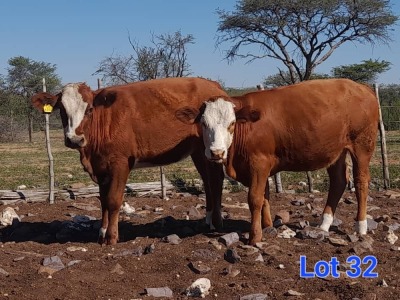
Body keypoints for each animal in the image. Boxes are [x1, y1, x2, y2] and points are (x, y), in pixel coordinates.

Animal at [31, 76, 228, 245]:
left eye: (89, 109)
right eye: (62, 110)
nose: (74, 139)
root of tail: (213, 85)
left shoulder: (120, 163)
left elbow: (113, 200)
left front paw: (111, 237)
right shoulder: (101, 168)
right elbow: (103, 201)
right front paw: (101, 233)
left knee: (216, 181)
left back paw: (216, 223)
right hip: (199, 152)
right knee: (207, 182)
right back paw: (207, 220)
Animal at [177, 78, 378, 245]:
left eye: (231, 124)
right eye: (204, 124)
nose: (216, 152)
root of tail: (362, 87)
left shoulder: (259, 163)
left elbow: (255, 198)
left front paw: (255, 236)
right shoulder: (260, 167)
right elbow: (265, 196)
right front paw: (267, 225)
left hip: (362, 146)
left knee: (361, 181)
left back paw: (361, 226)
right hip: (336, 152)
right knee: (338, 181)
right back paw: (324, 224)